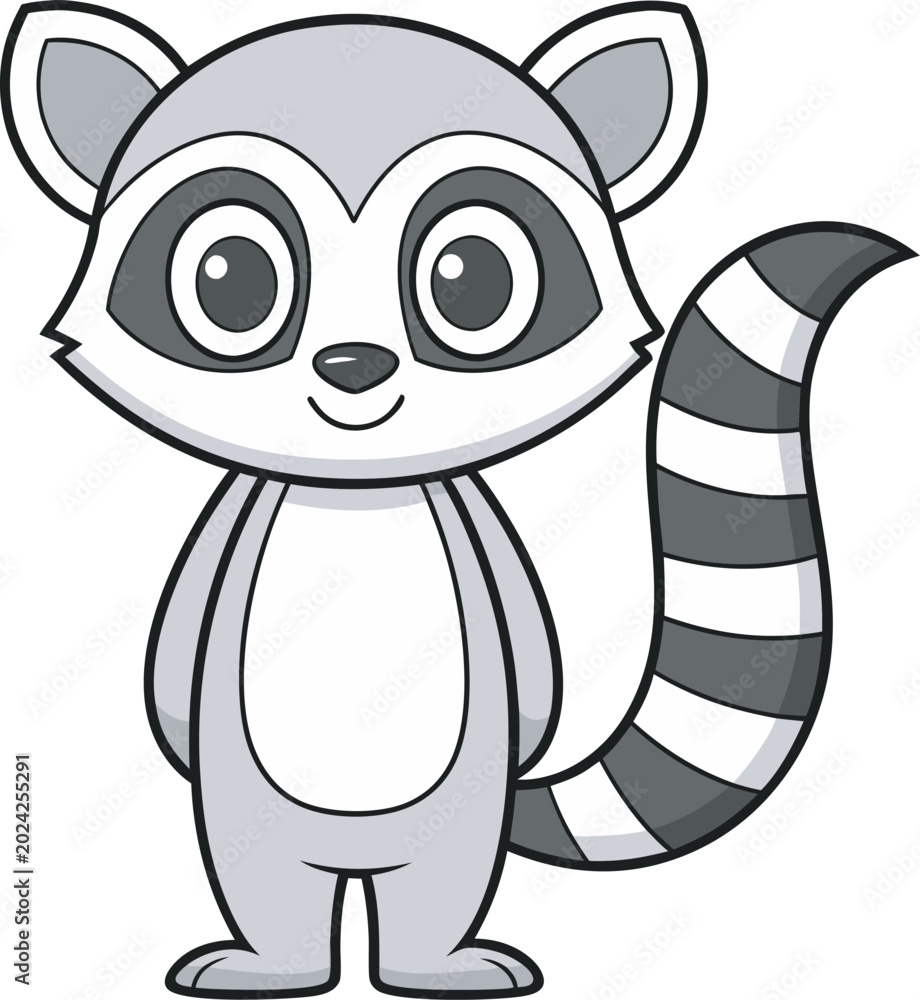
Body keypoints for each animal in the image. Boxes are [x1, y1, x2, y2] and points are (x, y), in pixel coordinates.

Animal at [3, 2, 914, 996]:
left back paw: (436, 965)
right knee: (271, 884)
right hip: (262, 814)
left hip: (453, 816)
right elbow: (180, 665)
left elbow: (528, 673)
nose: (353, 366)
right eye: (230, 276)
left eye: (471, 277)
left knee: (434, 885)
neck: (358, 495)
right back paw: (273, 965)